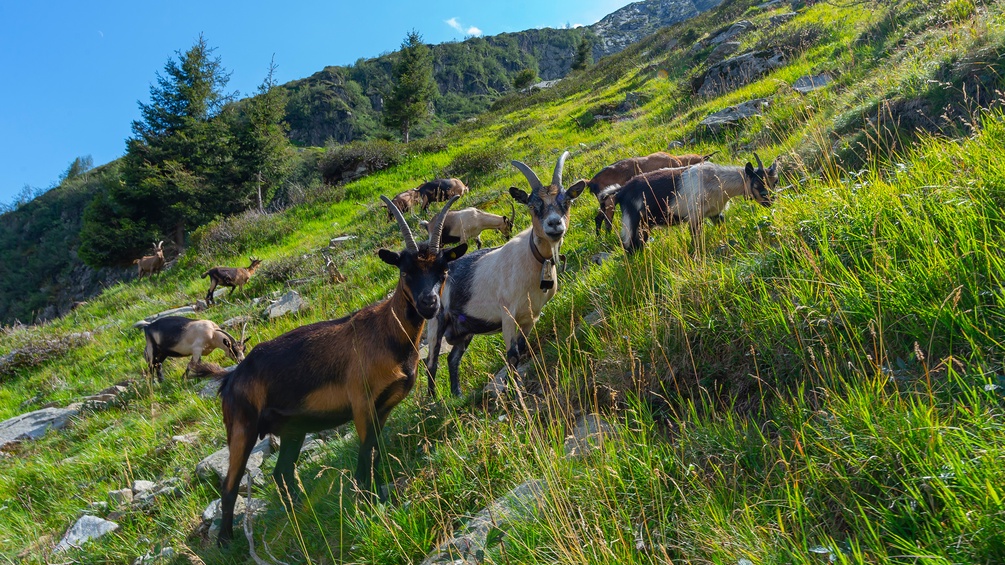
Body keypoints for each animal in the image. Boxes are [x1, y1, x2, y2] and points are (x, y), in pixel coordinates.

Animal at [203, 196, 466, 546]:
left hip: (293, 427)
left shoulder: (385, 405)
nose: (429, 303)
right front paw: (366, 499)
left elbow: (376, 450)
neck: (388, 335)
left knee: (282, 473)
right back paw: (226, 541)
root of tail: (232, 377)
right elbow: (365, 451)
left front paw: (375, 493)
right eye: (405, 270)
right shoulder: (361, 402)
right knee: (230, 484)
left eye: (443, 269)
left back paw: (299, 512)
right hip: (241, 426)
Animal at [424, 151, 586, 397]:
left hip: (464, 329)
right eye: (532, 205)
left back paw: (457, 396)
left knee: (453, 358)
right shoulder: (508, 314)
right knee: (431, 362)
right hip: (437, 320)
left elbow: (523, 348)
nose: (554, 225)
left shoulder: (531, 316)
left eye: (566, 202)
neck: (532, 260)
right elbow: (513, 354)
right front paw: (514, 391)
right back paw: (436, 401)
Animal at [614, 154, 778, 254]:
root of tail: (621, 192)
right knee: (629, 245)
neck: (716, 180)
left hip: (644, 225)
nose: (770, 201)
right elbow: (696, 239)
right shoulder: (694, 216)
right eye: (756, 184)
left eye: (775, 181)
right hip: (634, 222)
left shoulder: (715, 213)